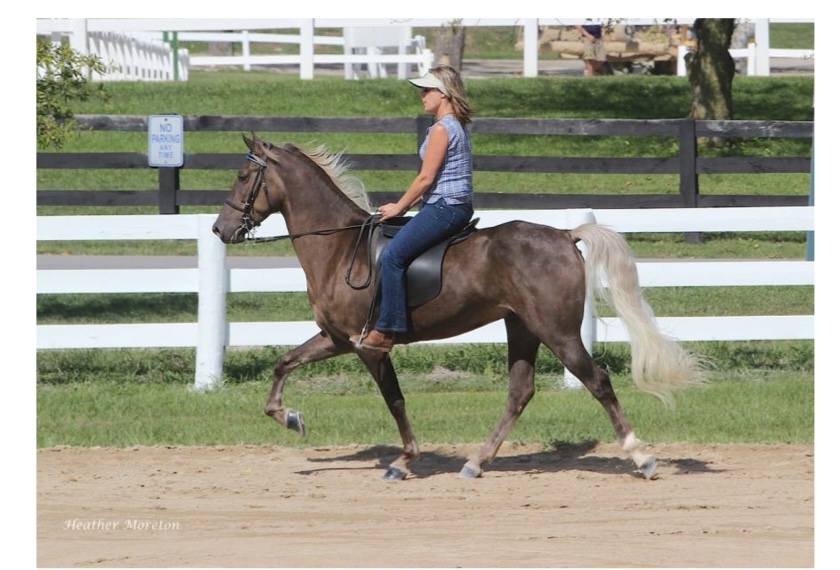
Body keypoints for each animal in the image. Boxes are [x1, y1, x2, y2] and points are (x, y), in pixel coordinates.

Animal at [212, 134, 704, 481]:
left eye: (242, 176)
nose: (219, 229)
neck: (338, 248)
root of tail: (565, 235)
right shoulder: (337, 339)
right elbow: (284, 362)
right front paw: (290, 418)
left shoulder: (369, 346)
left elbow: (395, 400)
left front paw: (403, 461)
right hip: (522, 327)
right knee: (520, 391)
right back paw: (477, 461)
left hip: (557, 331)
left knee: (597, 381)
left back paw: (641, 457)